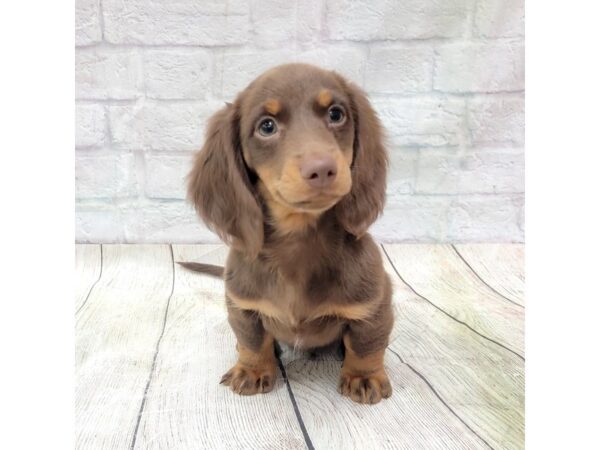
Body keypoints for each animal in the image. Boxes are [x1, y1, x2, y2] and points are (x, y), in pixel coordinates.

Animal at [188, 63, 394, 404]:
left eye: (336, 114)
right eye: (267, 126)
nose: (322, 169)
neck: (299, 240)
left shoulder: (375, 303)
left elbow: (366, 343)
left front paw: (364, 376)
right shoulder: (241, 304)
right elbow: (252, 339)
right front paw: (252, 369)